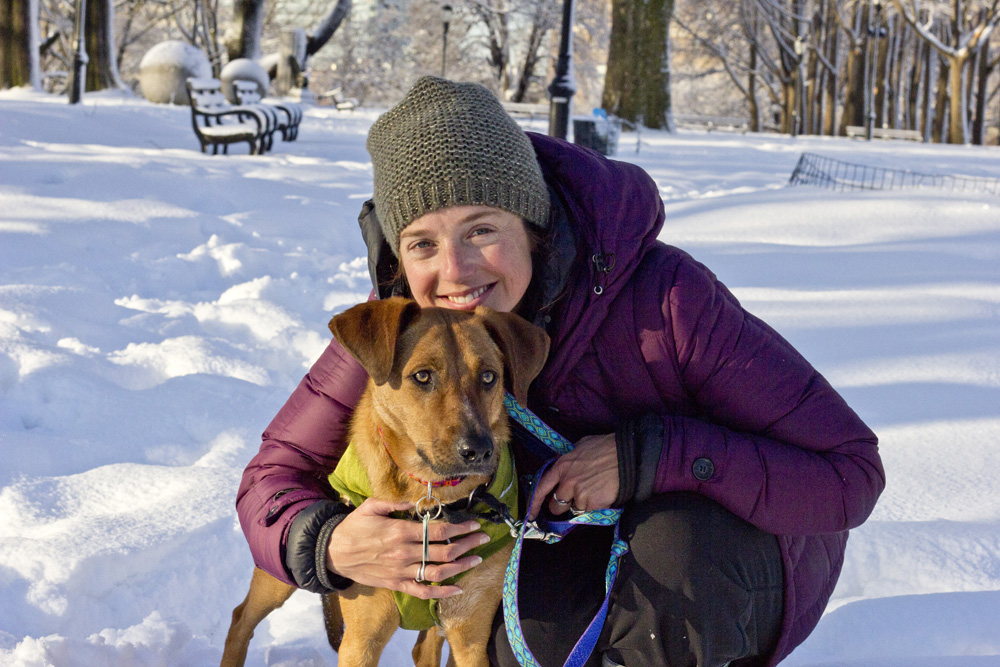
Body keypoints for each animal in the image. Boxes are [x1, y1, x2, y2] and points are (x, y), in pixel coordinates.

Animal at [221, 298, 548, 667]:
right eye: (422, 376)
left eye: (489, 376)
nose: (478, 450)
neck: (430, 498)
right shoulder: (362, 640)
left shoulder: (470, 637)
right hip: (281, 570)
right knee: (241, 617)